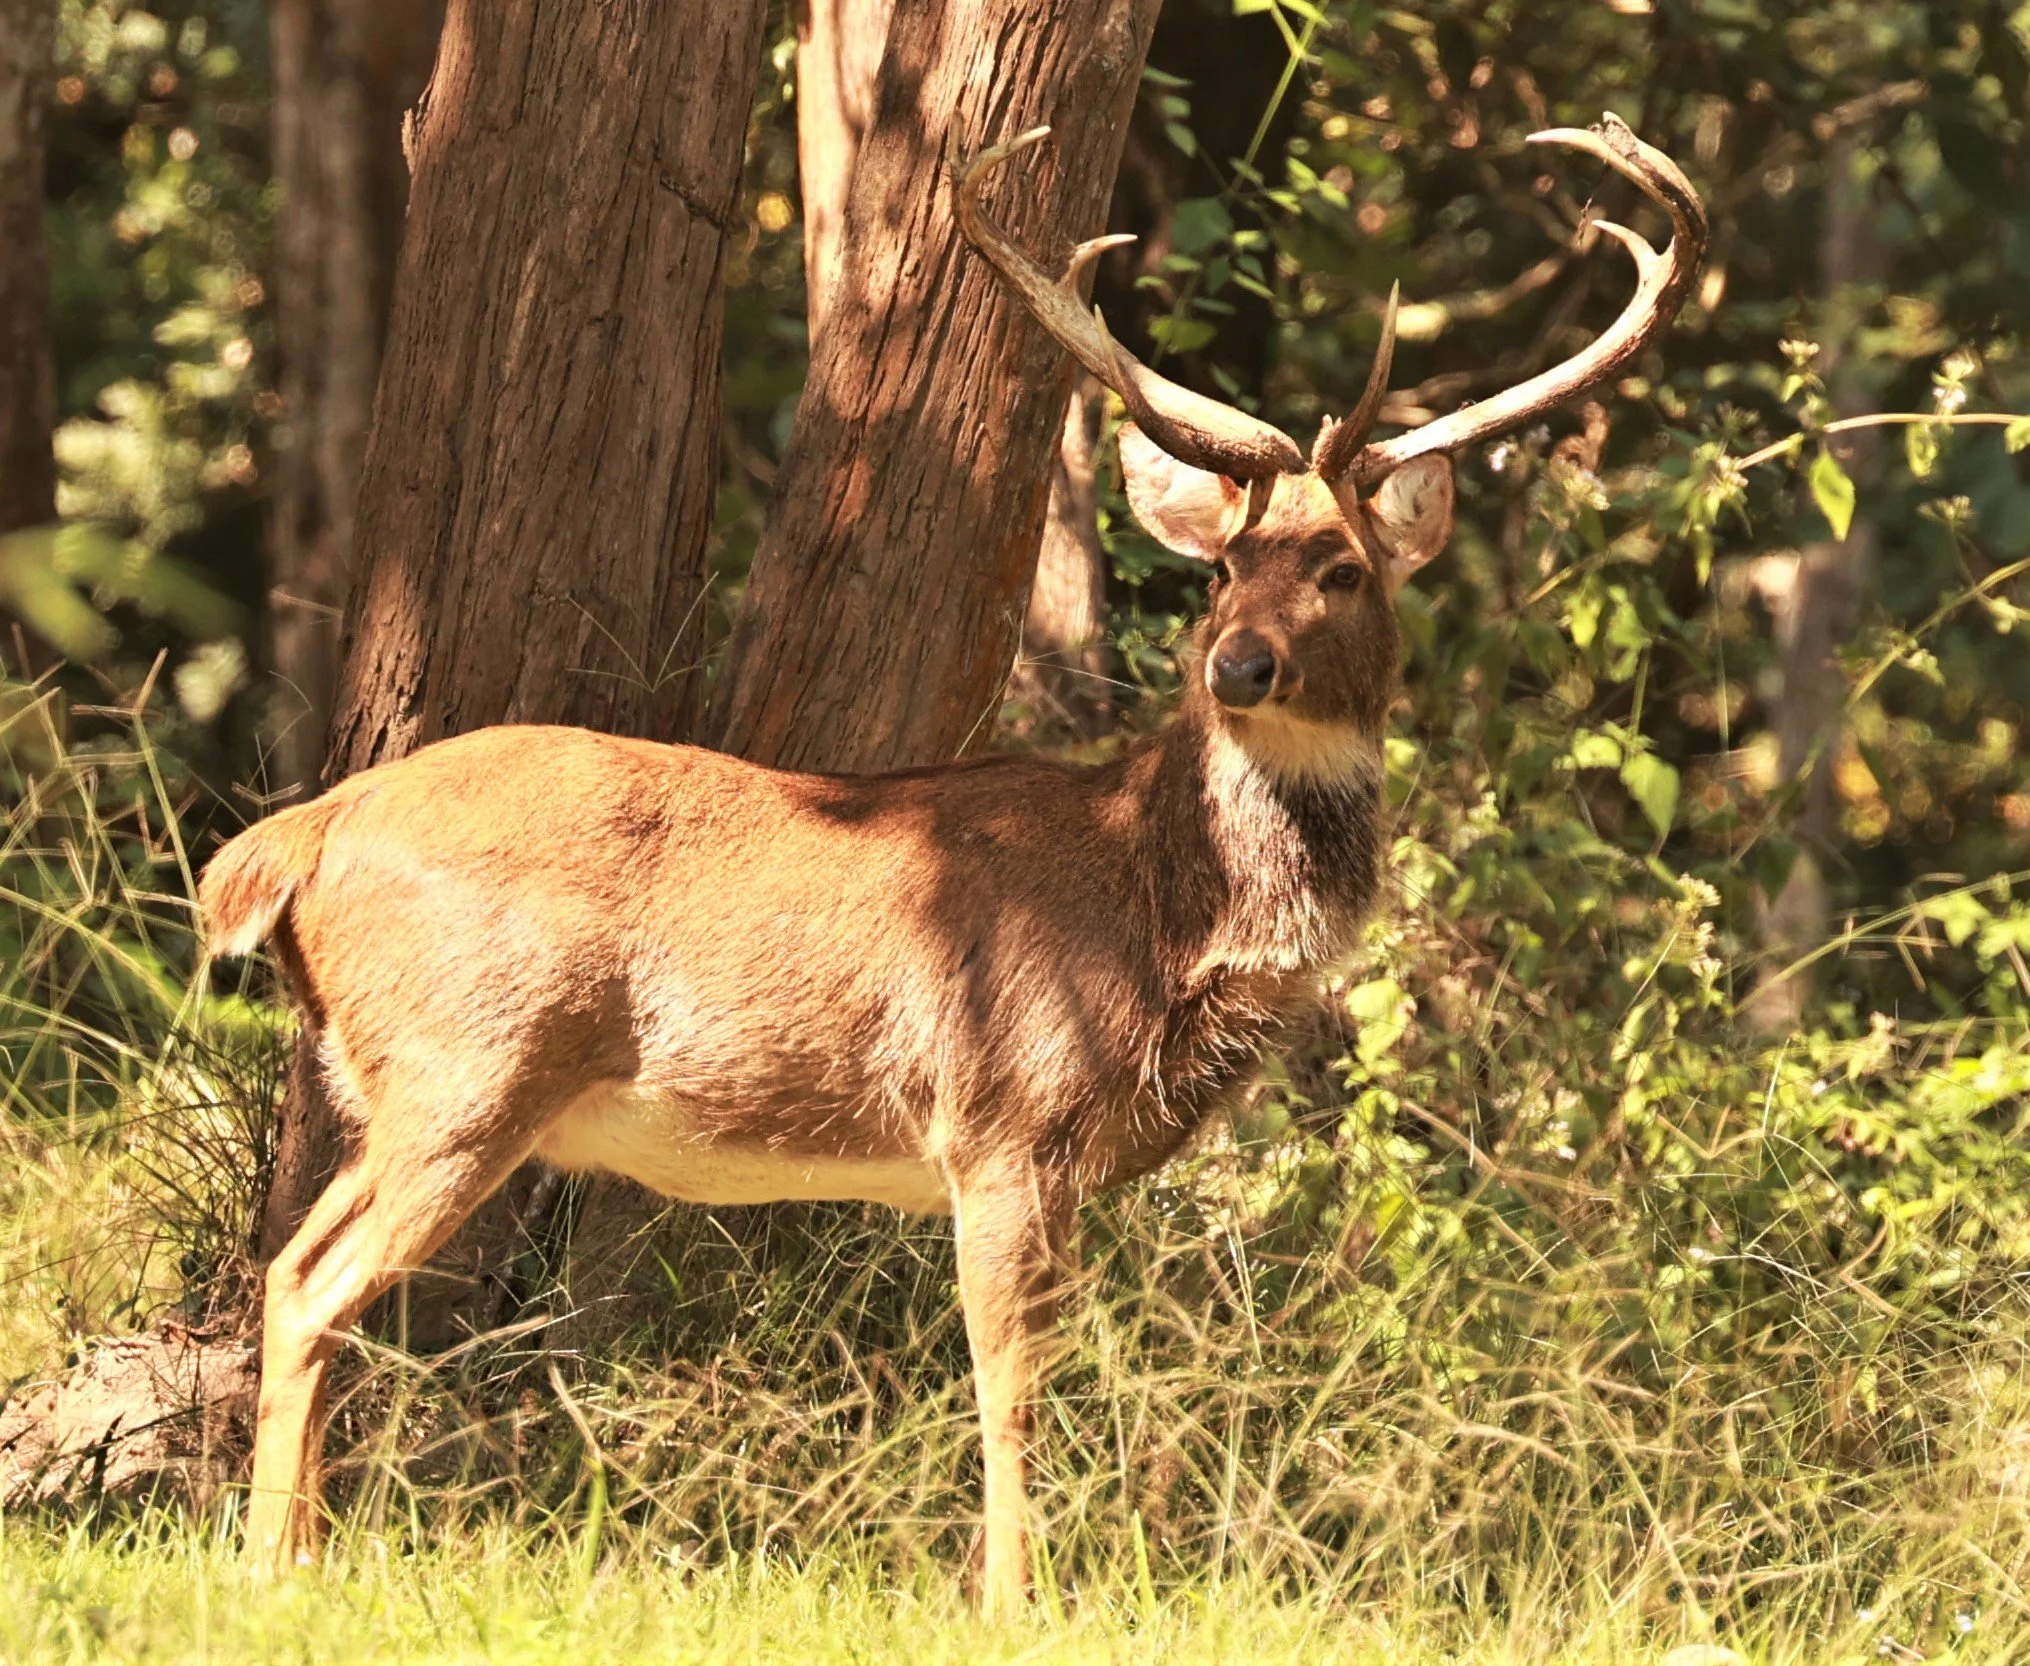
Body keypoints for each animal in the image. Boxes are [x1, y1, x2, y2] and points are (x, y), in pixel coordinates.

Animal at [198, 113, 1702, 1612]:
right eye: (1223, 565)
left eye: (1340, 568)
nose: (1236, 664)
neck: (1154, 909)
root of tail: (294, 838)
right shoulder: (1004, 1120)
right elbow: (1006, 1383)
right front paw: (1016, 1595)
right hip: (470, 1059)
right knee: (309, 1278)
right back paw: (273, 1562)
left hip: (418, 1074)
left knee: (297, 1267)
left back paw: (304, 1547)